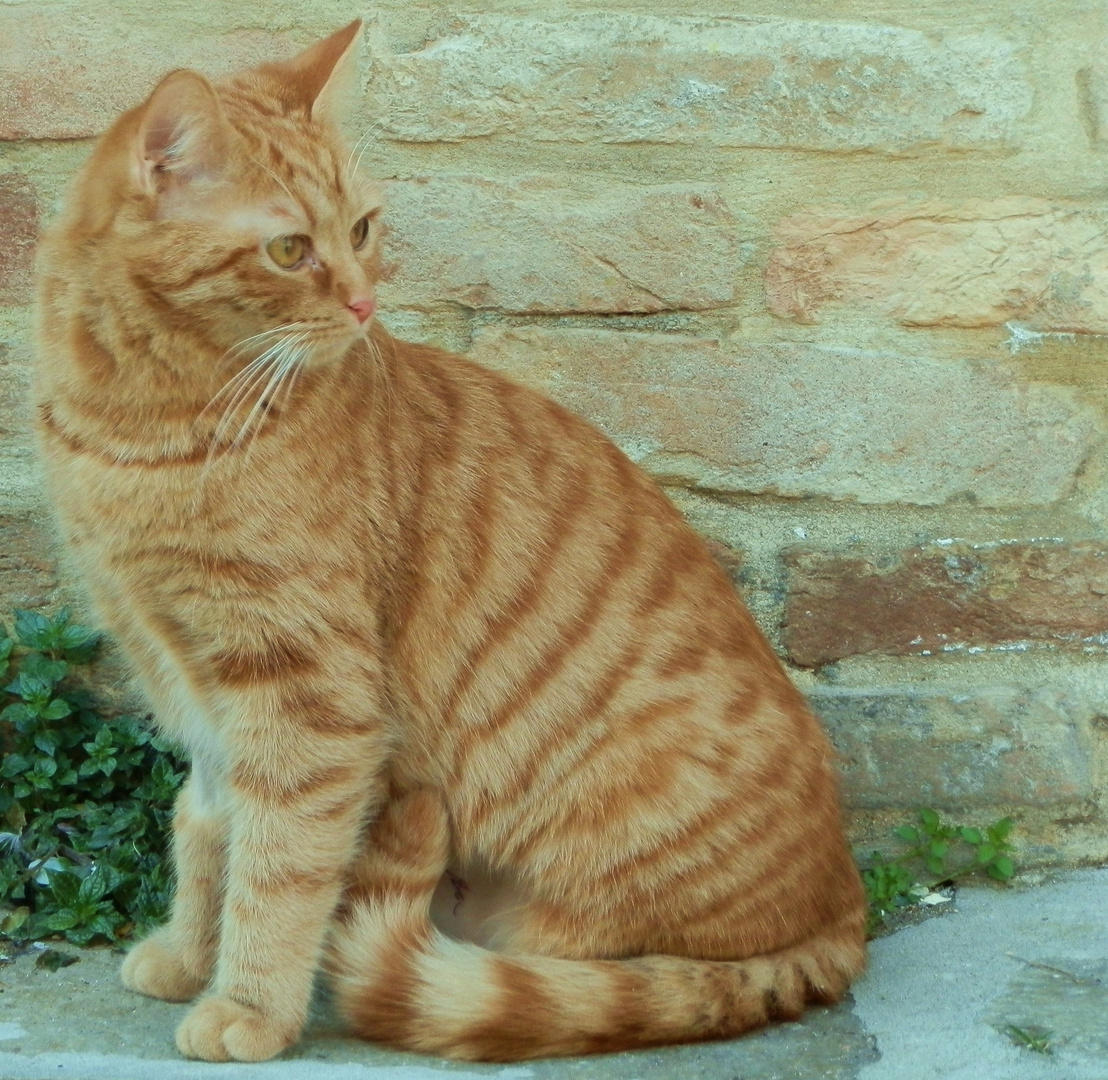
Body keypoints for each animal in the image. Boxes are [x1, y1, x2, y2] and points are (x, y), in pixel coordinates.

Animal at [32, 23, 864, 1063]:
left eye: (360, 230)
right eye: (289, 249)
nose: (362, 305)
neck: (143, 424)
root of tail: (847, 908)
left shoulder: (306, 694)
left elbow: (279, 864)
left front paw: (250, 1004)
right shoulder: (184, 673)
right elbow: (207, 824)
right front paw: (188, 953)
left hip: (569, 886)